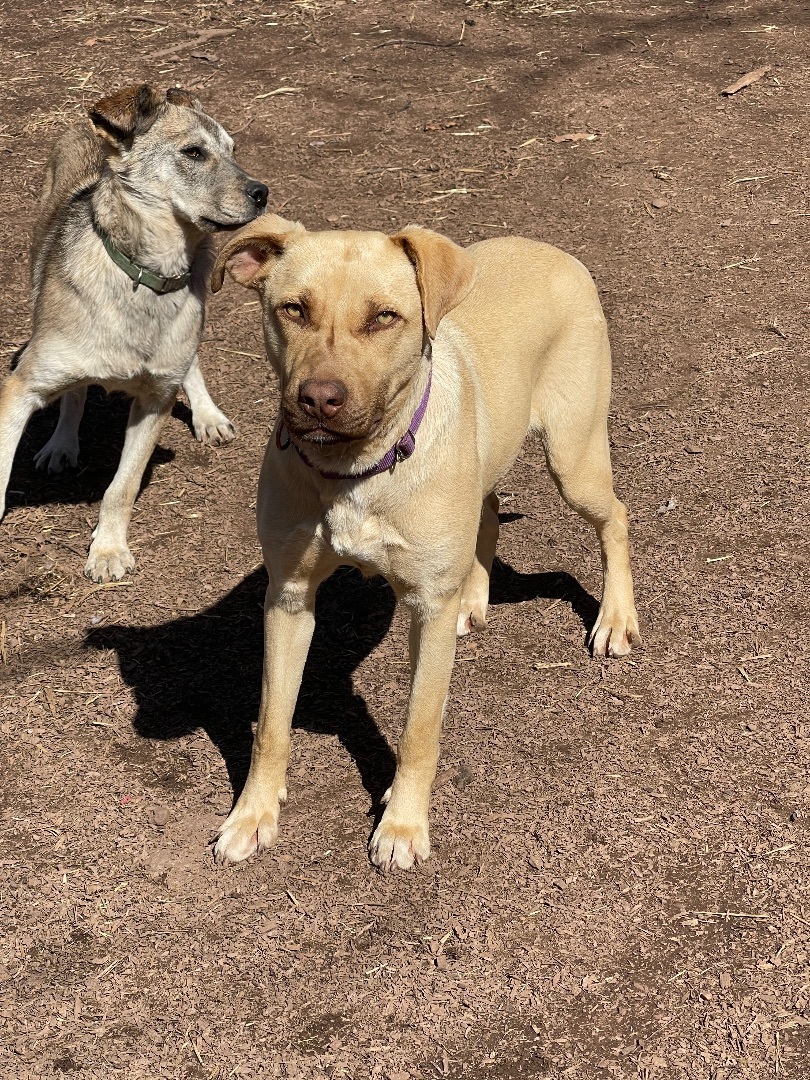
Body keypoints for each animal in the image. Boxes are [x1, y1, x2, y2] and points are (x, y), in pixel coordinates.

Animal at [0, 84, 267, 583]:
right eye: (193, 152)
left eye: (233, 150)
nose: (263, 192)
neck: (146, 275)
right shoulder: (20, 387)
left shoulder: (155, 400)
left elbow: (120, 489)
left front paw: (107, 550)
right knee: (76, 392)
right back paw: (61, 443)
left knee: (190, 361)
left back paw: (207, 415)